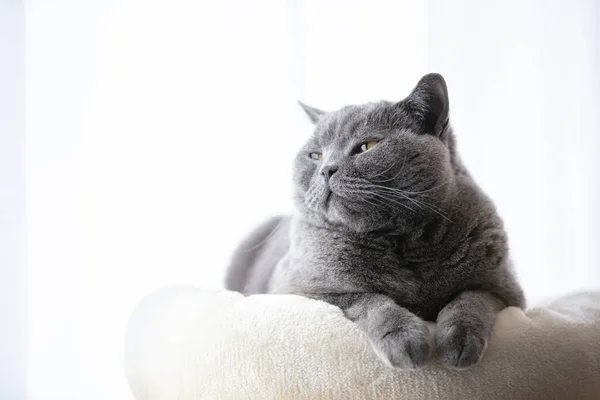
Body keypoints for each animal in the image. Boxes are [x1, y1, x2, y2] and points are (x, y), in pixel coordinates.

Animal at [225, 73, 524, 370]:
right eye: (315, 155)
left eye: (367, 146)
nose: (326, 169)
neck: (401, 241)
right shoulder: (297, 291)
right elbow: (367, 298)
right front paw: (405, 340)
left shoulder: (505, 289)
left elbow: (471, 297)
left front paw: (458, 340)